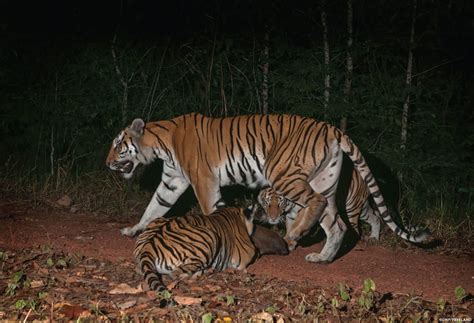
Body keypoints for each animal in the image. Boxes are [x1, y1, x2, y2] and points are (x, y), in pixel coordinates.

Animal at [107, 113, 430, 264]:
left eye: (118, 145)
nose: (107, 163)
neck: (160, 144)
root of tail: (332, 128)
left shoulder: (202, 180)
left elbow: (211, 210)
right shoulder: (172, 181)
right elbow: (154, 208)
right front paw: (133, 230)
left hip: (284, 173)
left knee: (315, 204)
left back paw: (294, 234)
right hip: (325, 181)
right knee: (336, 223)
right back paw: (322, 257)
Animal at [135, 208, 286, 294]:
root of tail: (149, 244)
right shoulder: (247, 253)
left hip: (157, 220)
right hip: (210, 236)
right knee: (177, 273)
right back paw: (205, 272)